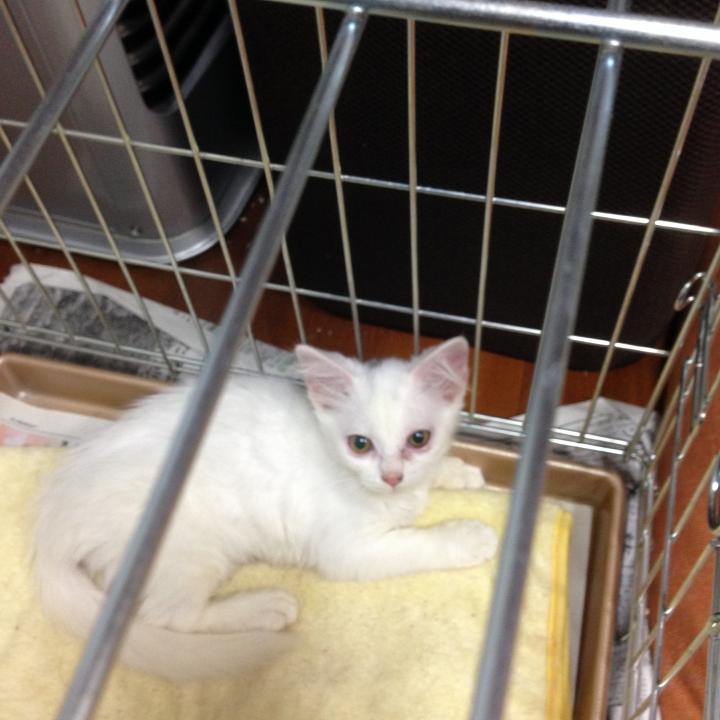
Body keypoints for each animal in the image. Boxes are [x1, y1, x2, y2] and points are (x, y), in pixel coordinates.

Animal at [33, 336, 497, 682]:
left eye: (419, 439)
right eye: (360, 444)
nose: (392, 476)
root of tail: (55, 518)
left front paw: (458, 472)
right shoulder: (349, 551)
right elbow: (414, 544)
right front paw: (469, 537)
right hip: (192, 547)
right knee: (171, 616)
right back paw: (263, 607)